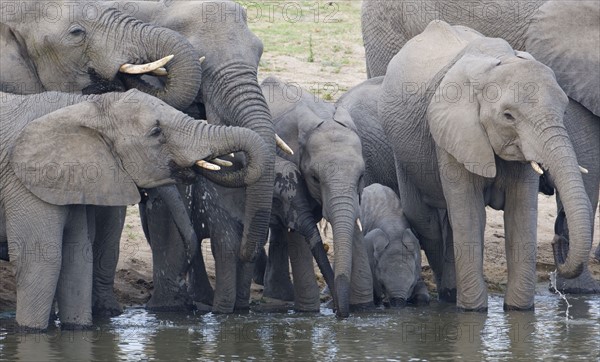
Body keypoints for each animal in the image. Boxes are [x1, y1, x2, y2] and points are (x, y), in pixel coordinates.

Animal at [0, 88, 268, 330]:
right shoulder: (22, 178)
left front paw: (79, 329)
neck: (86, 105)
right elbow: (42, 259)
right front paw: (32, 332)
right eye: (156, 132)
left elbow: (77, 257)